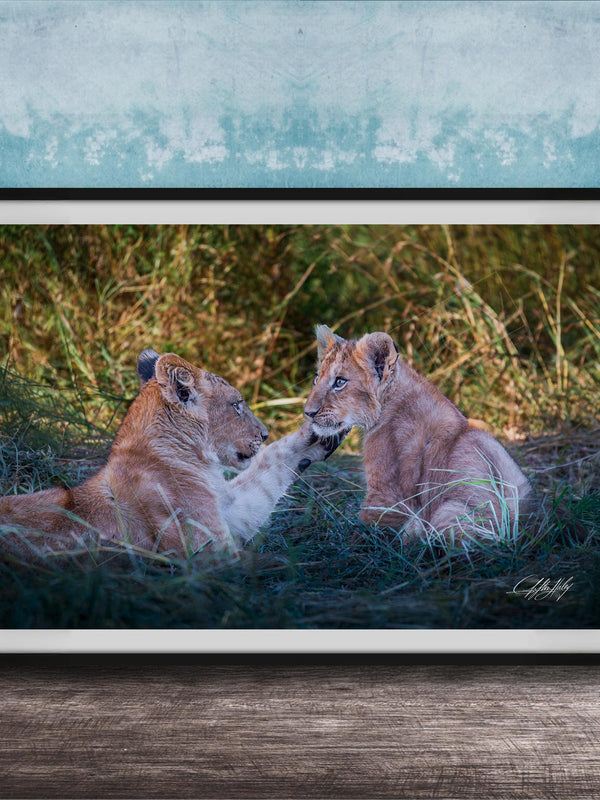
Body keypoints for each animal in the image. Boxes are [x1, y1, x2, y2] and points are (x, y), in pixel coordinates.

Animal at [0, 350, 345, 559]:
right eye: (236, 405)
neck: (198, 461)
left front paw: (321, 433)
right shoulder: (209, 554)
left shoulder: (227, 512)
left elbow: (266, 472)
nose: (264, 434)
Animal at [304, 326, 533, 540]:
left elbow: (358, 532)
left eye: (340, 382)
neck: (388, 401)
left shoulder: (387, 496)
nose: (308, 413)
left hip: (448, 512)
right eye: (316, 379)